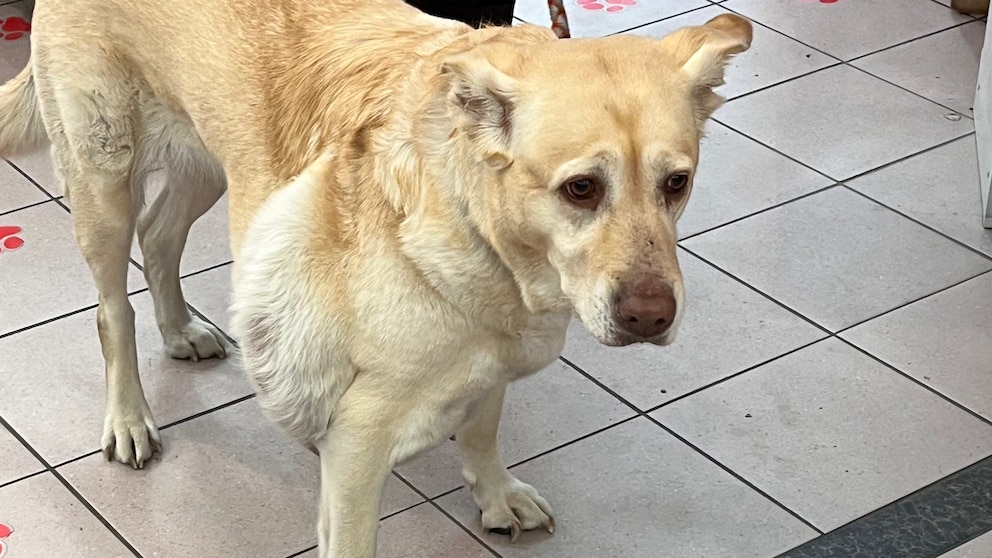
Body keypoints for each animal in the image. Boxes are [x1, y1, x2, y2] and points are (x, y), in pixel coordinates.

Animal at [0, 2, 748, 556]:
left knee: (159, 237)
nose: (650, 316)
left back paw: (181, 329)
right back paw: (129, 417)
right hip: (104, 176)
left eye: (676, 183)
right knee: (111, 308)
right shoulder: (355, 444)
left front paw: (495, 493)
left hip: (213, 162)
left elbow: (483, 424)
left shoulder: (493, 356)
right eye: (581, 188)